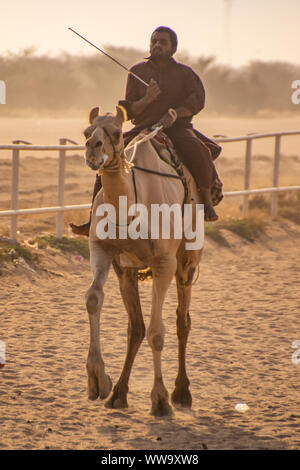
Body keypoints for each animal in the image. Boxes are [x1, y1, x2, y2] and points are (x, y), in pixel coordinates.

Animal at [83, 105, 203, 414]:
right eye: (86, 132)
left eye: (116, 133)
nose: (92, 149)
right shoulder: (101, 249)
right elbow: (93, 299)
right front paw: (97, 381)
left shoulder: (164, 263)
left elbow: (157, 331)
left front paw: (160, 399)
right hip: (126, 271)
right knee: (135, 326)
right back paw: (118, 394)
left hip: (186, 262)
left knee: (181, 321)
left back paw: (181, 392)